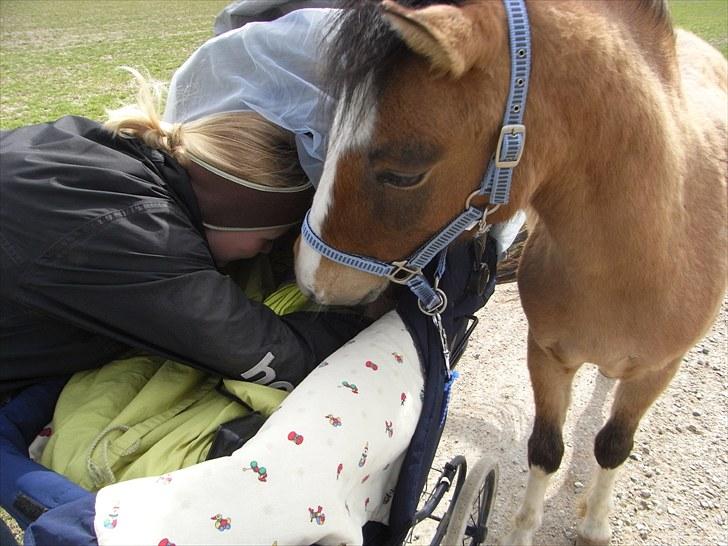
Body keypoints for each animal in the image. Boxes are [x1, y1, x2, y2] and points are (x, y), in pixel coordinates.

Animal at [292, 1, 724, 544]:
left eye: (404, 174)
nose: (310, 277)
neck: (637, 265)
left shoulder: (657, 371)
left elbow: (612, 445)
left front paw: (595, 523)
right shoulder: (546, 354)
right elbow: (546, 448)